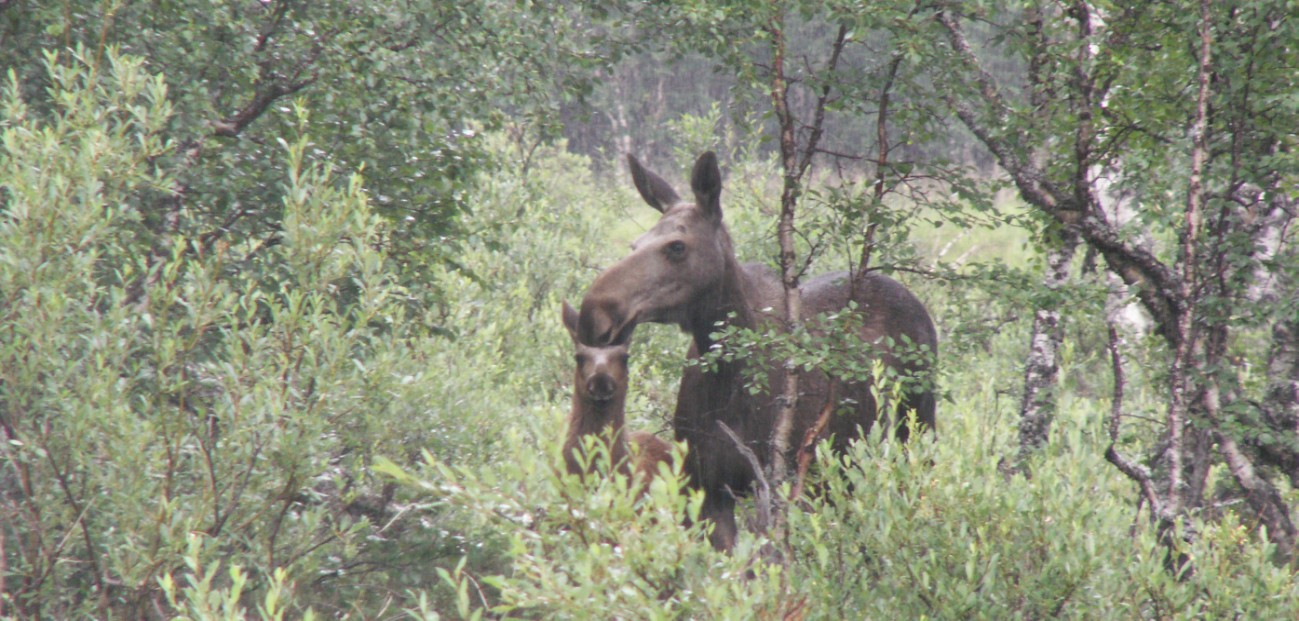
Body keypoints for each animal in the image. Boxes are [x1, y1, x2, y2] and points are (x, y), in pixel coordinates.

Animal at [579, 151, 935, 548]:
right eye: (635, 245)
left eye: (676, 246)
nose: (593, 313)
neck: (729, 377)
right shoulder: (707, 489)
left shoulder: (785, 483)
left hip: (914, 430)